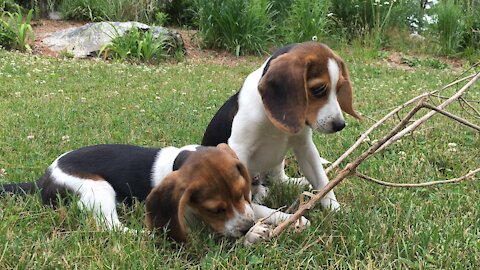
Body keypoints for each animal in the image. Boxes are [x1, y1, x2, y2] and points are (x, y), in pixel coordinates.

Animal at [0, 143, 270, 243]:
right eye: (215, 210)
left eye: (243, 194)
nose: (247, 227)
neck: (180, 159)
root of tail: (43, 178)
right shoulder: (189, 219)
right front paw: (253, 233)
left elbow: (261, 209)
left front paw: (271, 218)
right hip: (98, 187)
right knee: (112, 226)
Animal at [200, 41, 360, 224]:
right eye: (319, 89)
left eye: (339, 87)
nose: (340, 125)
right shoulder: (240, 148)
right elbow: (247, 203)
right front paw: (286, 218)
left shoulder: (305, 146)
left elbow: (322, 181)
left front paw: (335, 208)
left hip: (277, 162)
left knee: (279, 180)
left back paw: (298, 182)